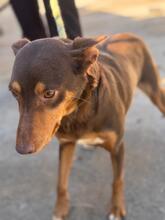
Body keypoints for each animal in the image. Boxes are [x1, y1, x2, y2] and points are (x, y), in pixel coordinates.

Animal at [8, 33, 165, 220]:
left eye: (49, 93)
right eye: (14, 93)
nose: (22, 150)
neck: (79, 111)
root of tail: (129, 35)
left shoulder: (117, 147)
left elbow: (117, 180)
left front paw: (116, 208)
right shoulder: (66, 144)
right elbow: (61, 181)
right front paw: (60, 208)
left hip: (153, 89)